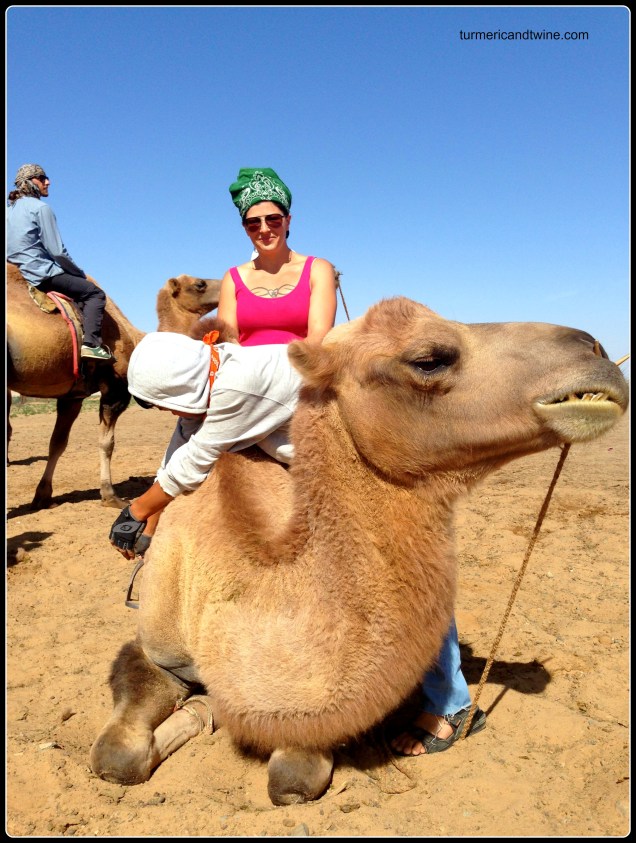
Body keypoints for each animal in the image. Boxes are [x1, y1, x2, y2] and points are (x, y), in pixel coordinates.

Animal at [90, 296, 629, 805]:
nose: (595, 351)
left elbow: (293, 778)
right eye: (429, 358)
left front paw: (214, 714)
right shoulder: (155, 648)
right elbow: (115, 757)